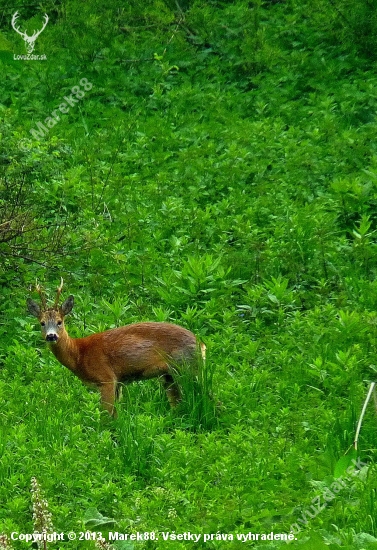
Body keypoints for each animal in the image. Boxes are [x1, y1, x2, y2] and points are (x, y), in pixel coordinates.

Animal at [27, 280, 206, 418]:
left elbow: (106, 416)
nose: (51, 336)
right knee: (178, 403)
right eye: (42, 323)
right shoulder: (119, 382)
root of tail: (201, 344)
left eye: (59, 322)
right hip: (169, 375)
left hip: (187, 366)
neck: (79, 354)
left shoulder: (106, 377)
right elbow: (116, 415)